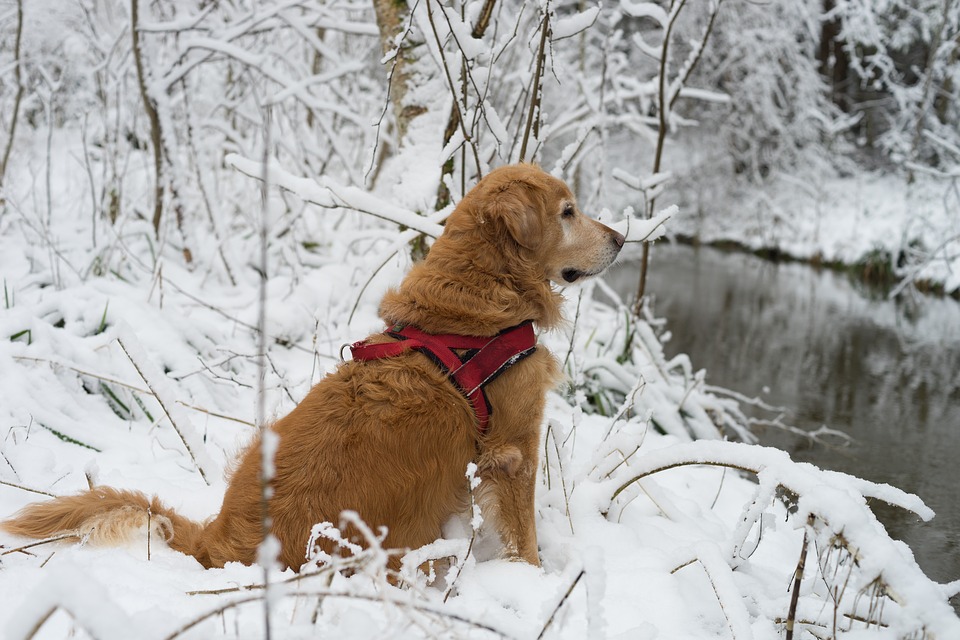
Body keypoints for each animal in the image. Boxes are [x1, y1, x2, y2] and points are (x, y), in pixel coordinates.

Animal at [3, 162, 628, 572]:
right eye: (568, 212)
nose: (622, 237)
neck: (476, 299)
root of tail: (220, 542)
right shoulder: (514, 449)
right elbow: (525, 535)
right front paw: (537, 580)